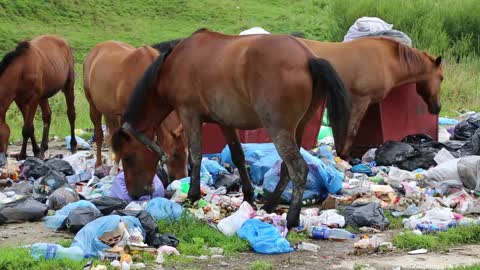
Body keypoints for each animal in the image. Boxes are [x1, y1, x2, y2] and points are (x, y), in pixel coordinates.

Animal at [0, 33, 77, 165]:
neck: (22, 70)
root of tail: (63, 41)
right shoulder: (20, 100)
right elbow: (30, 127)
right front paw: (36, 151)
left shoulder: (34, 99)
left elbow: (26, 129)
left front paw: (23, 154)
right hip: (43, 96)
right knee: (47, 115)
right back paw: (43, 148)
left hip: (68, 86)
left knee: (71, 114)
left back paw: (73, 145)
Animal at [82, 40, 188, 184]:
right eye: (175, 154)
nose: (182, 179)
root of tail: (96, 49)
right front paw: (116, 171)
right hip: (93, 106)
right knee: (99, 134)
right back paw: (100, 164)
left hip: (110, 112)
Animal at [112, 29, 352, 228]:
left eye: (128, 158)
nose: (135, 194)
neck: (173, 64)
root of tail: (307, 57)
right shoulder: (225, 122)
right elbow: (237, 156)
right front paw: (248, 196)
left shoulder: (189, 114)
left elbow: (196, 155)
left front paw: (192, 194)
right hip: (298, 129)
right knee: (287, 169)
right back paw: (270, 205)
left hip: (279, 130)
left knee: (299, 169)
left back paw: (292, 218)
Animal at [298, 36, 444, 158]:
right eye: (441, 78)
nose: (437, 107)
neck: (384, 60)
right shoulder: (360, 100)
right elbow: (351, 130)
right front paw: (344, 156)